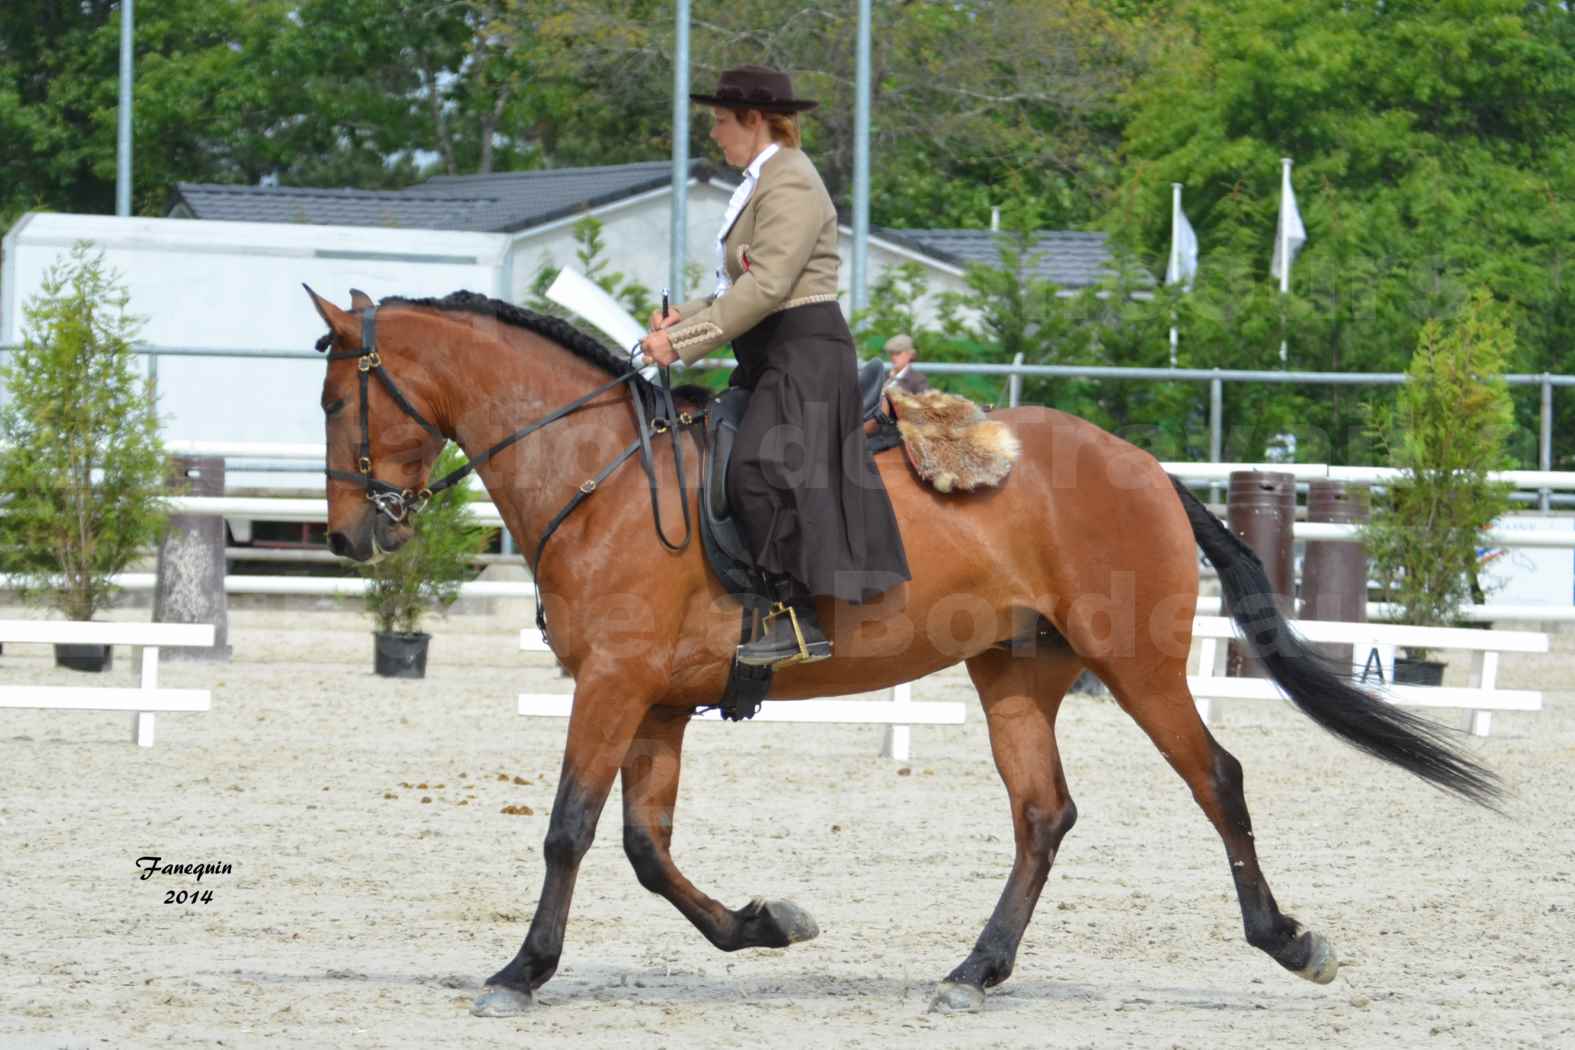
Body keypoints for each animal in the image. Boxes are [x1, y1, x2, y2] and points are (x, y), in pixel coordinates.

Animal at [300, 288, 1493, 1020]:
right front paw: (763, 926)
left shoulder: (614, 687)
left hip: (1139, 666)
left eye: (333, 398)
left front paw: (521, 971)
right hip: (1016, 674)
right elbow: (644, 846)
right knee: (1042, 815)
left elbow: (569, 832)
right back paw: (976, 969)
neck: (599, 472)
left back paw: (1287, 940)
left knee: (1217, 779)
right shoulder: (656, 702)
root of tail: (1146, 468)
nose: (352, 538)